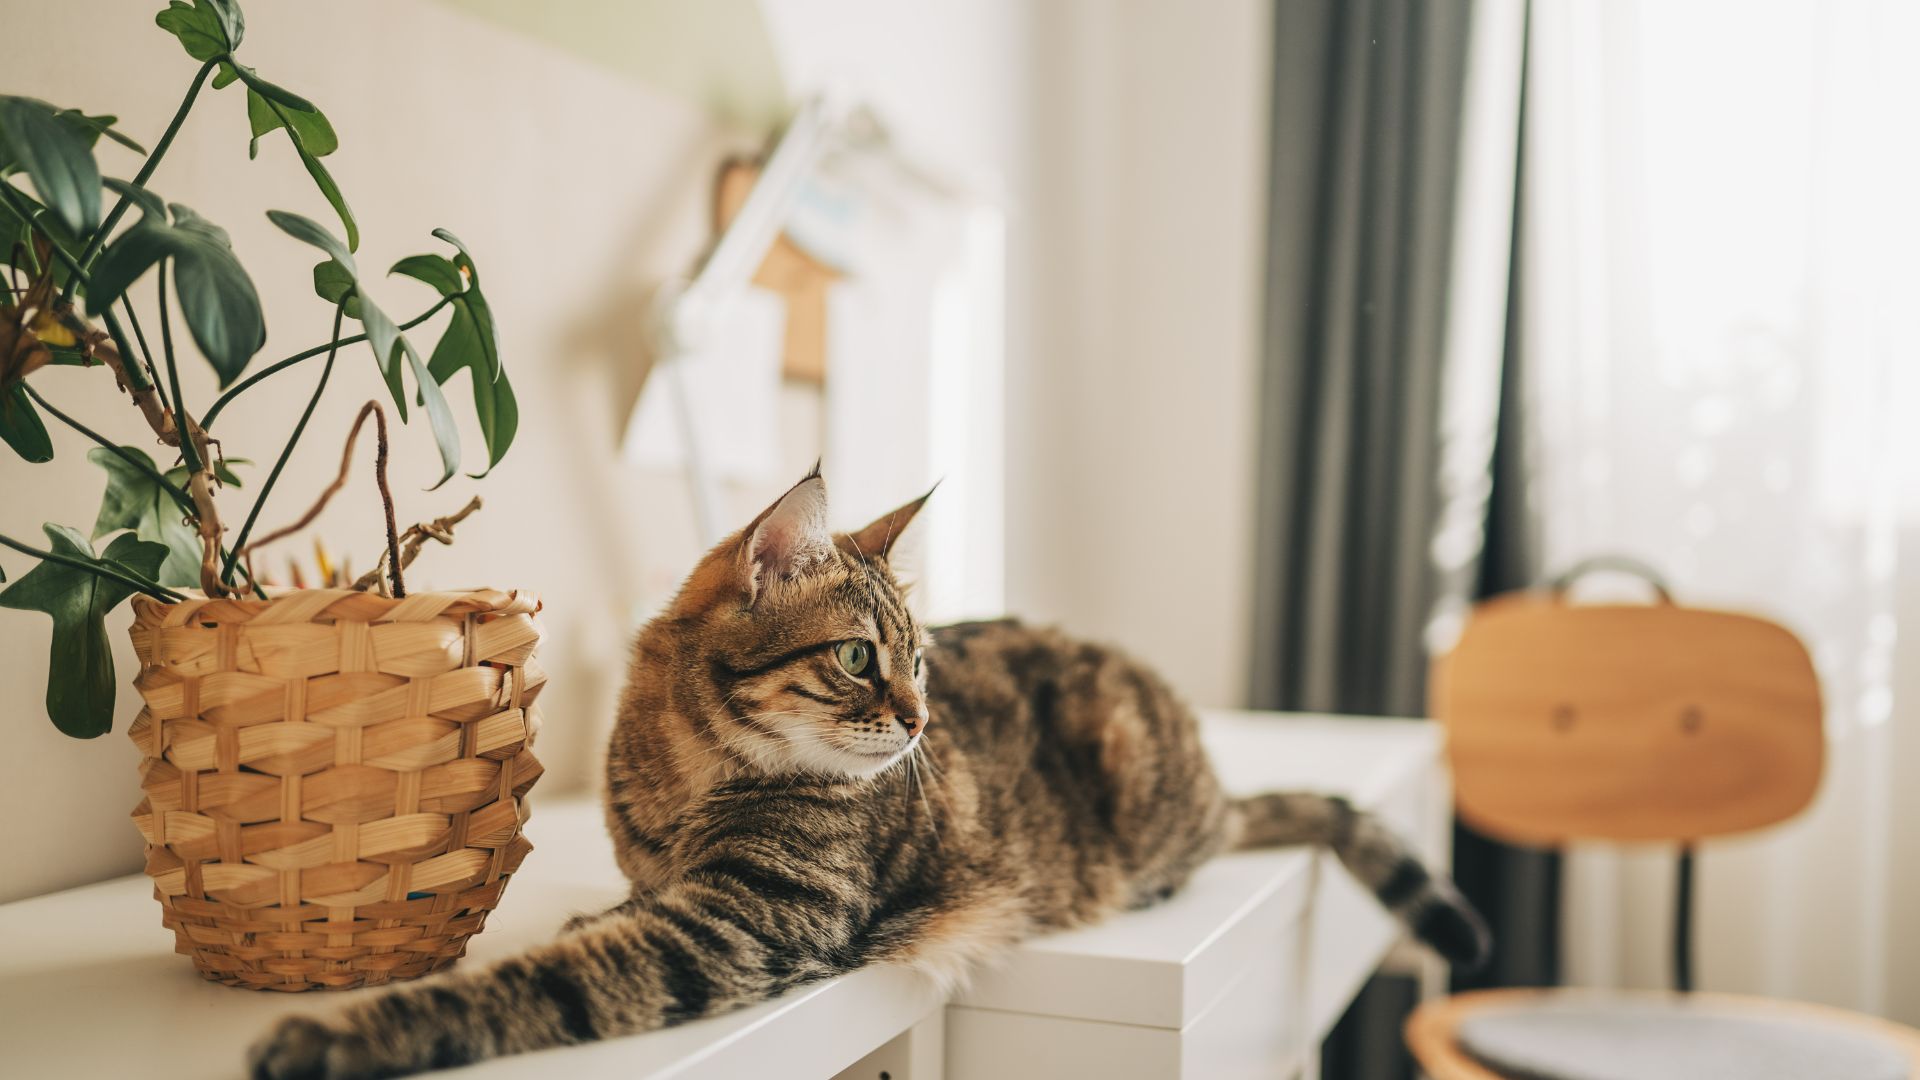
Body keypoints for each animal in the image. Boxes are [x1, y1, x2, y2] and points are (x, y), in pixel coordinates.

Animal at [247, 470, 1489, 1076]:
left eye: (922, 659)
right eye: (858, 657)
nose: (922, 716)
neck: (681, 778)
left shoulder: (744, 923)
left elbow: (537, 986)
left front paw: (341, 1037)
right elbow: (609, 914)